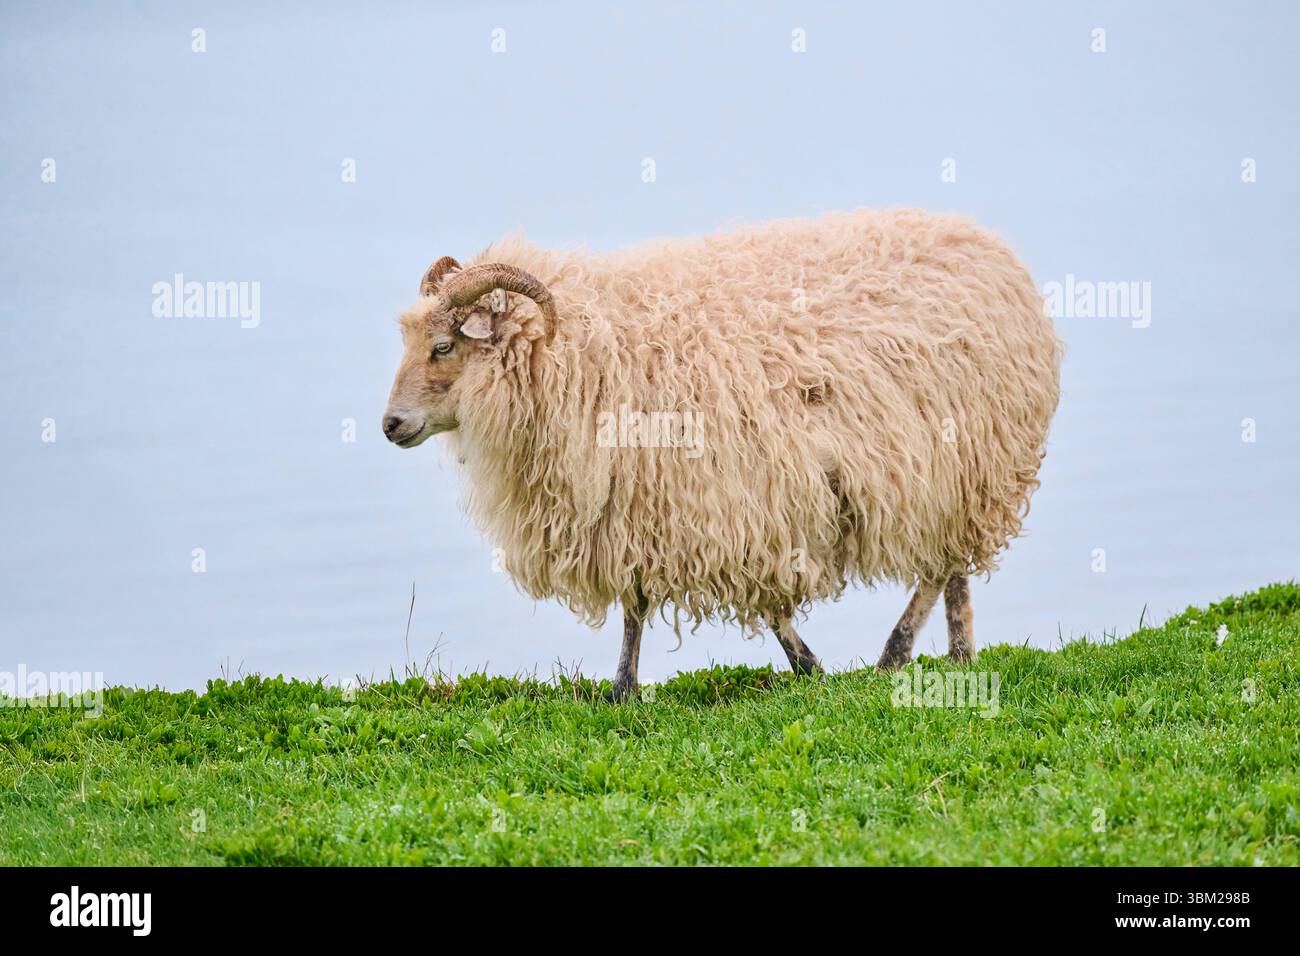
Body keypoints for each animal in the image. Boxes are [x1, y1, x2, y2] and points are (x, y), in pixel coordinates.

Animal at [382, 209, 1062, 700]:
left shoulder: (719, 501)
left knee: (939, 564)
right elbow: (635, 604)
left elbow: (750, 601)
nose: (390, 425)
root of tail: (982, 241)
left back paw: (895, 654)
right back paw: (958, 652)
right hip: (955, 469)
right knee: (951, 567)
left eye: (443, 346)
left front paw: (804, 666)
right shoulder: (636, 509)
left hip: (964, 462)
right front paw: (625, 686)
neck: (580, 352)